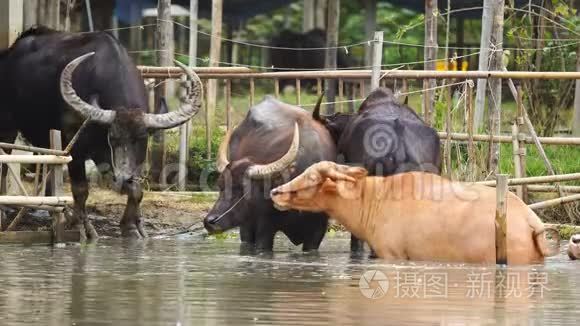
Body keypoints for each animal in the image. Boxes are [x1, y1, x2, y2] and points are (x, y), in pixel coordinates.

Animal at [0, 27, 202, 239]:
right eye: (112, 138)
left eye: (141, 139)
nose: (123, 178)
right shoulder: (74, 147)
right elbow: (81, 190)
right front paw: (85, 229)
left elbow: (136, 189)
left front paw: (132, 226)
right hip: (7, 126)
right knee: (5, 163)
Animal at [204, 95, 338, 251]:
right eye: (220, 186)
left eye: (242, 189)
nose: (209, 221)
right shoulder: (264, 226)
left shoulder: (318, 230)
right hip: (247, 224)